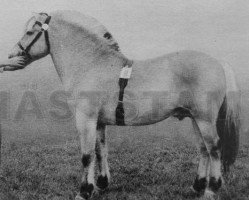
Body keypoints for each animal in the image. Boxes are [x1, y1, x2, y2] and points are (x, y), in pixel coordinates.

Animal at [7, 11, 241, 200]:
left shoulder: (85, 119)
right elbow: (100, 151)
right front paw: (100, 185)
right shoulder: (99, 122)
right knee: (203, 149)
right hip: (195, 118)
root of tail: (218, 63)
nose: (12, 55)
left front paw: (83, 192)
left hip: (205, 119)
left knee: (214, 147)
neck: (92, 65)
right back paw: (197, 186)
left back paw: (211, 190)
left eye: (30, 31)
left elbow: (86, 155)